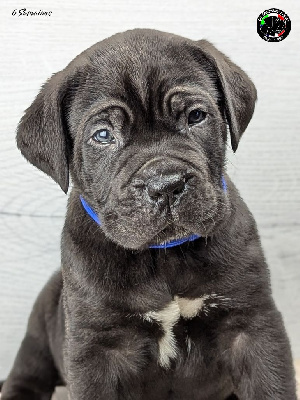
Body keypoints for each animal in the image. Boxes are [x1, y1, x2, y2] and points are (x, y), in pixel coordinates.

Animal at [1, 28, 298, 400]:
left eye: (196, 117)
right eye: (103, 135)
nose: (166, 184)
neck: (163, 256)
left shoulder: (252, 325)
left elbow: (271, 385)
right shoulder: (96, 350)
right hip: (39, 332)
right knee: (25, 375)